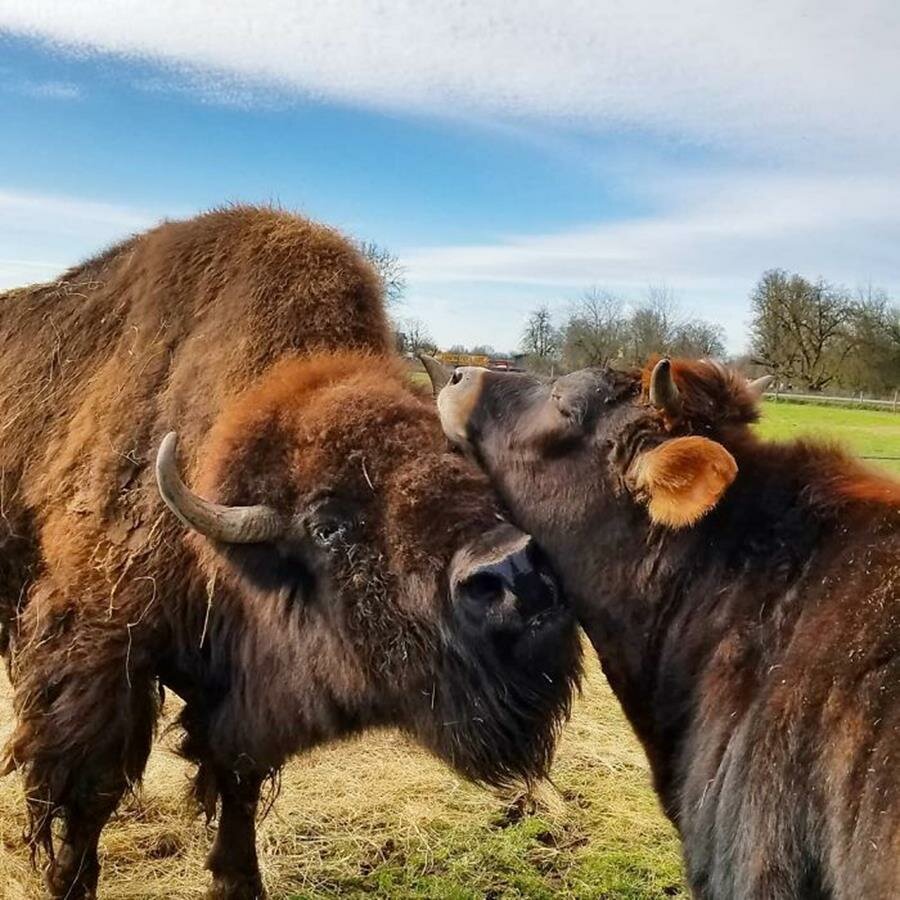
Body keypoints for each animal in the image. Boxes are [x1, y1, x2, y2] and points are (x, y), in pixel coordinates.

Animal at [0, 206, 584, 900]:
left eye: (470, 469)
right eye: (327, 526)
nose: (515, 573)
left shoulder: (236, 683)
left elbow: (238, 778)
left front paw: (237, 880)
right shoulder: (99, 653)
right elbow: (88, 796)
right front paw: (70, 882)